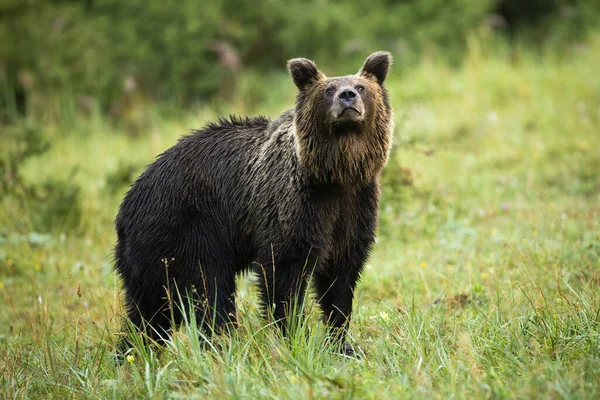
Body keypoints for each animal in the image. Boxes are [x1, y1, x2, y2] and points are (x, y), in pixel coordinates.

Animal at [113, 50, 394, 356]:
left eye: (362, 87)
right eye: (328, 90)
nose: (347, 96)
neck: (336, 175)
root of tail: (127, 205)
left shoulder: (354, 207)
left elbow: (340, 279)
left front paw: (342, 343)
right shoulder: (296, 205)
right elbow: (283, 272)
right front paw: (293, 337)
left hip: (151, 255)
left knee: (148, 312)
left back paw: (133, 350)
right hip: (187, 233)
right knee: (208, 293)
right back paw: (222, 345)